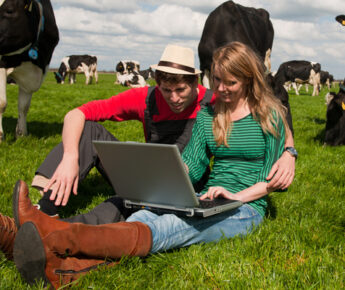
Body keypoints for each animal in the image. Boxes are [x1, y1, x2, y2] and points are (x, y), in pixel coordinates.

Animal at [0, 0, 58, 142]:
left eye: (9, 10)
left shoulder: (32, 76)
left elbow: (24, 106)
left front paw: (22, 134)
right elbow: (2, 103)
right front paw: (0, 136)